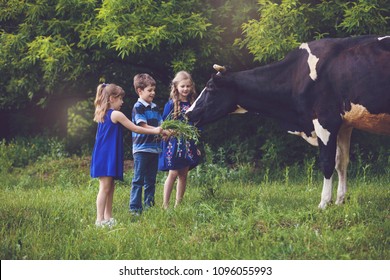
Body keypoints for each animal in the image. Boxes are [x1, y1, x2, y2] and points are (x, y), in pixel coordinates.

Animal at [186, 34, 390, 208]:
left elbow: (327, 162)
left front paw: (324, 203)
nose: (188, 113)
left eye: (210, 88)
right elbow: (342, 162)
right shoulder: (344, 125)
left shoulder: (325, 119)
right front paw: (340, 201)